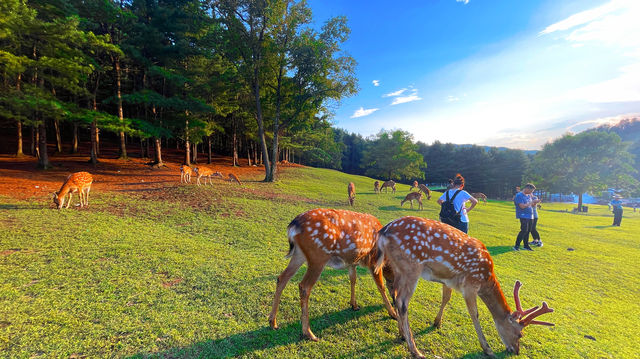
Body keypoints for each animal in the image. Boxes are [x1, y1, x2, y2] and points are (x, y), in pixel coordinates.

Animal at [268, 210, 398, 342]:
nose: (396, 301)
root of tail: (293, 226)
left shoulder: (352, 262)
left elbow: (353, 279)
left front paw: (354, 305)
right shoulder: (374, 261)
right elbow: (381, 286)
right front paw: (393, 314)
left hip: (299, 254)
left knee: (282, 278)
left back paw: (273, 322)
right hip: (318, 257)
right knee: (304, 286)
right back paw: (309, 333)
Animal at [378, 218, 552, 358]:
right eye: (520, 334)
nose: (516, 351)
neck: (486, 279)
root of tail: (383, 231)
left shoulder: (448, 280)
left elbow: (446, 298)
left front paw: (437, 322)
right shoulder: (470, 284)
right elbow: (474, 313)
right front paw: (488, 349)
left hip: (398, 267)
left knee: (394, 294)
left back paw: (402, 334)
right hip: (411, 266)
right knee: (402, 302)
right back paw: (415, 350)